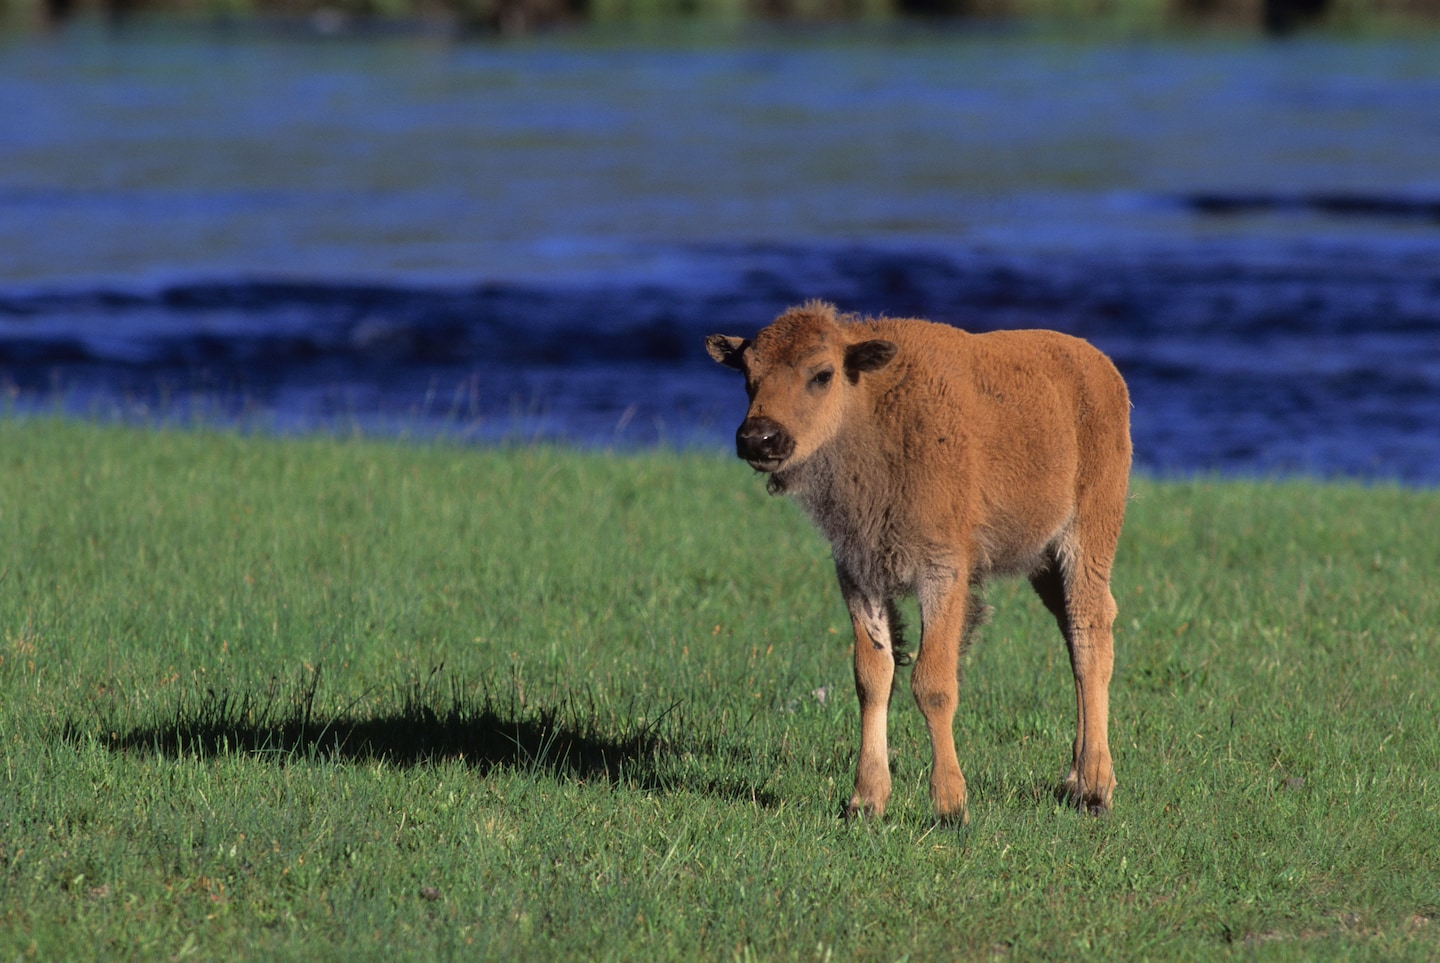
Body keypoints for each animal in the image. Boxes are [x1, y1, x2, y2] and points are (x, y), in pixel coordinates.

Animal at [706, 300, 1131, 823]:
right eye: (748, 375)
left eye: (822, 374)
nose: (759, 439)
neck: (872, 407)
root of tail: (1100, 368)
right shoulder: (858, 573)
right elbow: (873, 676)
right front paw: (865, 801)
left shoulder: (942, 573)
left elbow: (933, 683)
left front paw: (950, 805)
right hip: (1044, 563)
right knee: (1072, 636)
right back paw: (1073, 780)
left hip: (1087, 537)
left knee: (1092, 635)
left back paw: (1095, 788)